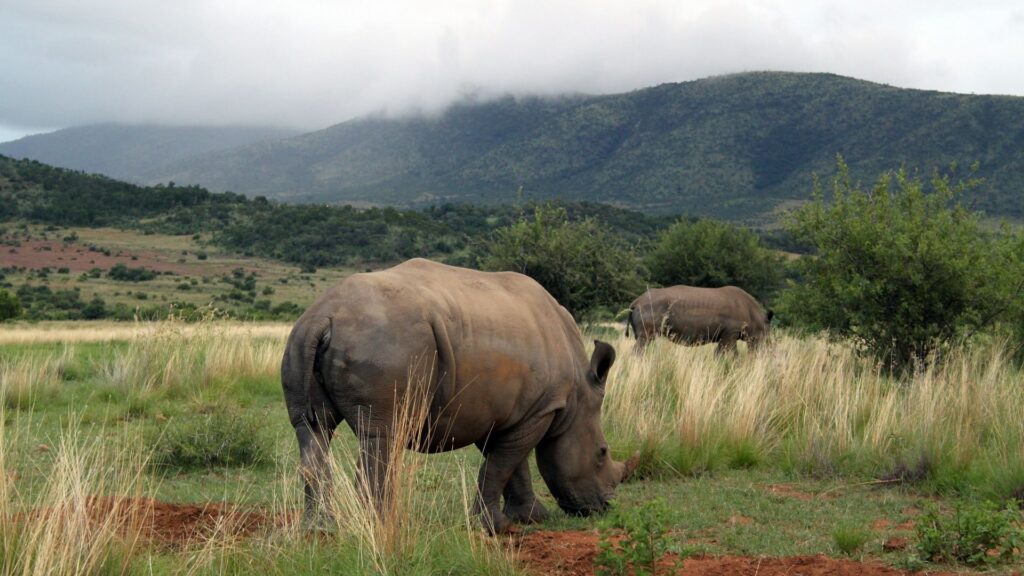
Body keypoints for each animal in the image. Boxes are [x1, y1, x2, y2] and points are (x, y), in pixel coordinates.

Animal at [280, 258, 630, 532]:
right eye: (602, 453)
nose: (604, 506)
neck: (578, 395)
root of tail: (324, 316)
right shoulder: (540, 409)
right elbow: (502, 464)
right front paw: (494, 526)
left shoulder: (502, 411)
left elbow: (510, 463)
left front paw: (531, 518)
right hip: (382, 341)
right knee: (381, 434)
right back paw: (380, 526)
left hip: (301, 339)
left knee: (312, 430)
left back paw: (320, 529)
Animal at [622, 282, 774, 354]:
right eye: (763, 337)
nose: (764, 351)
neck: (756, 317)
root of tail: (635, 302)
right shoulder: (730, 333)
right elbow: (729, 353)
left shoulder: (727, 335)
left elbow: (724, 353)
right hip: (649, 308)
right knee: (645, 340)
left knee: (643, 340)